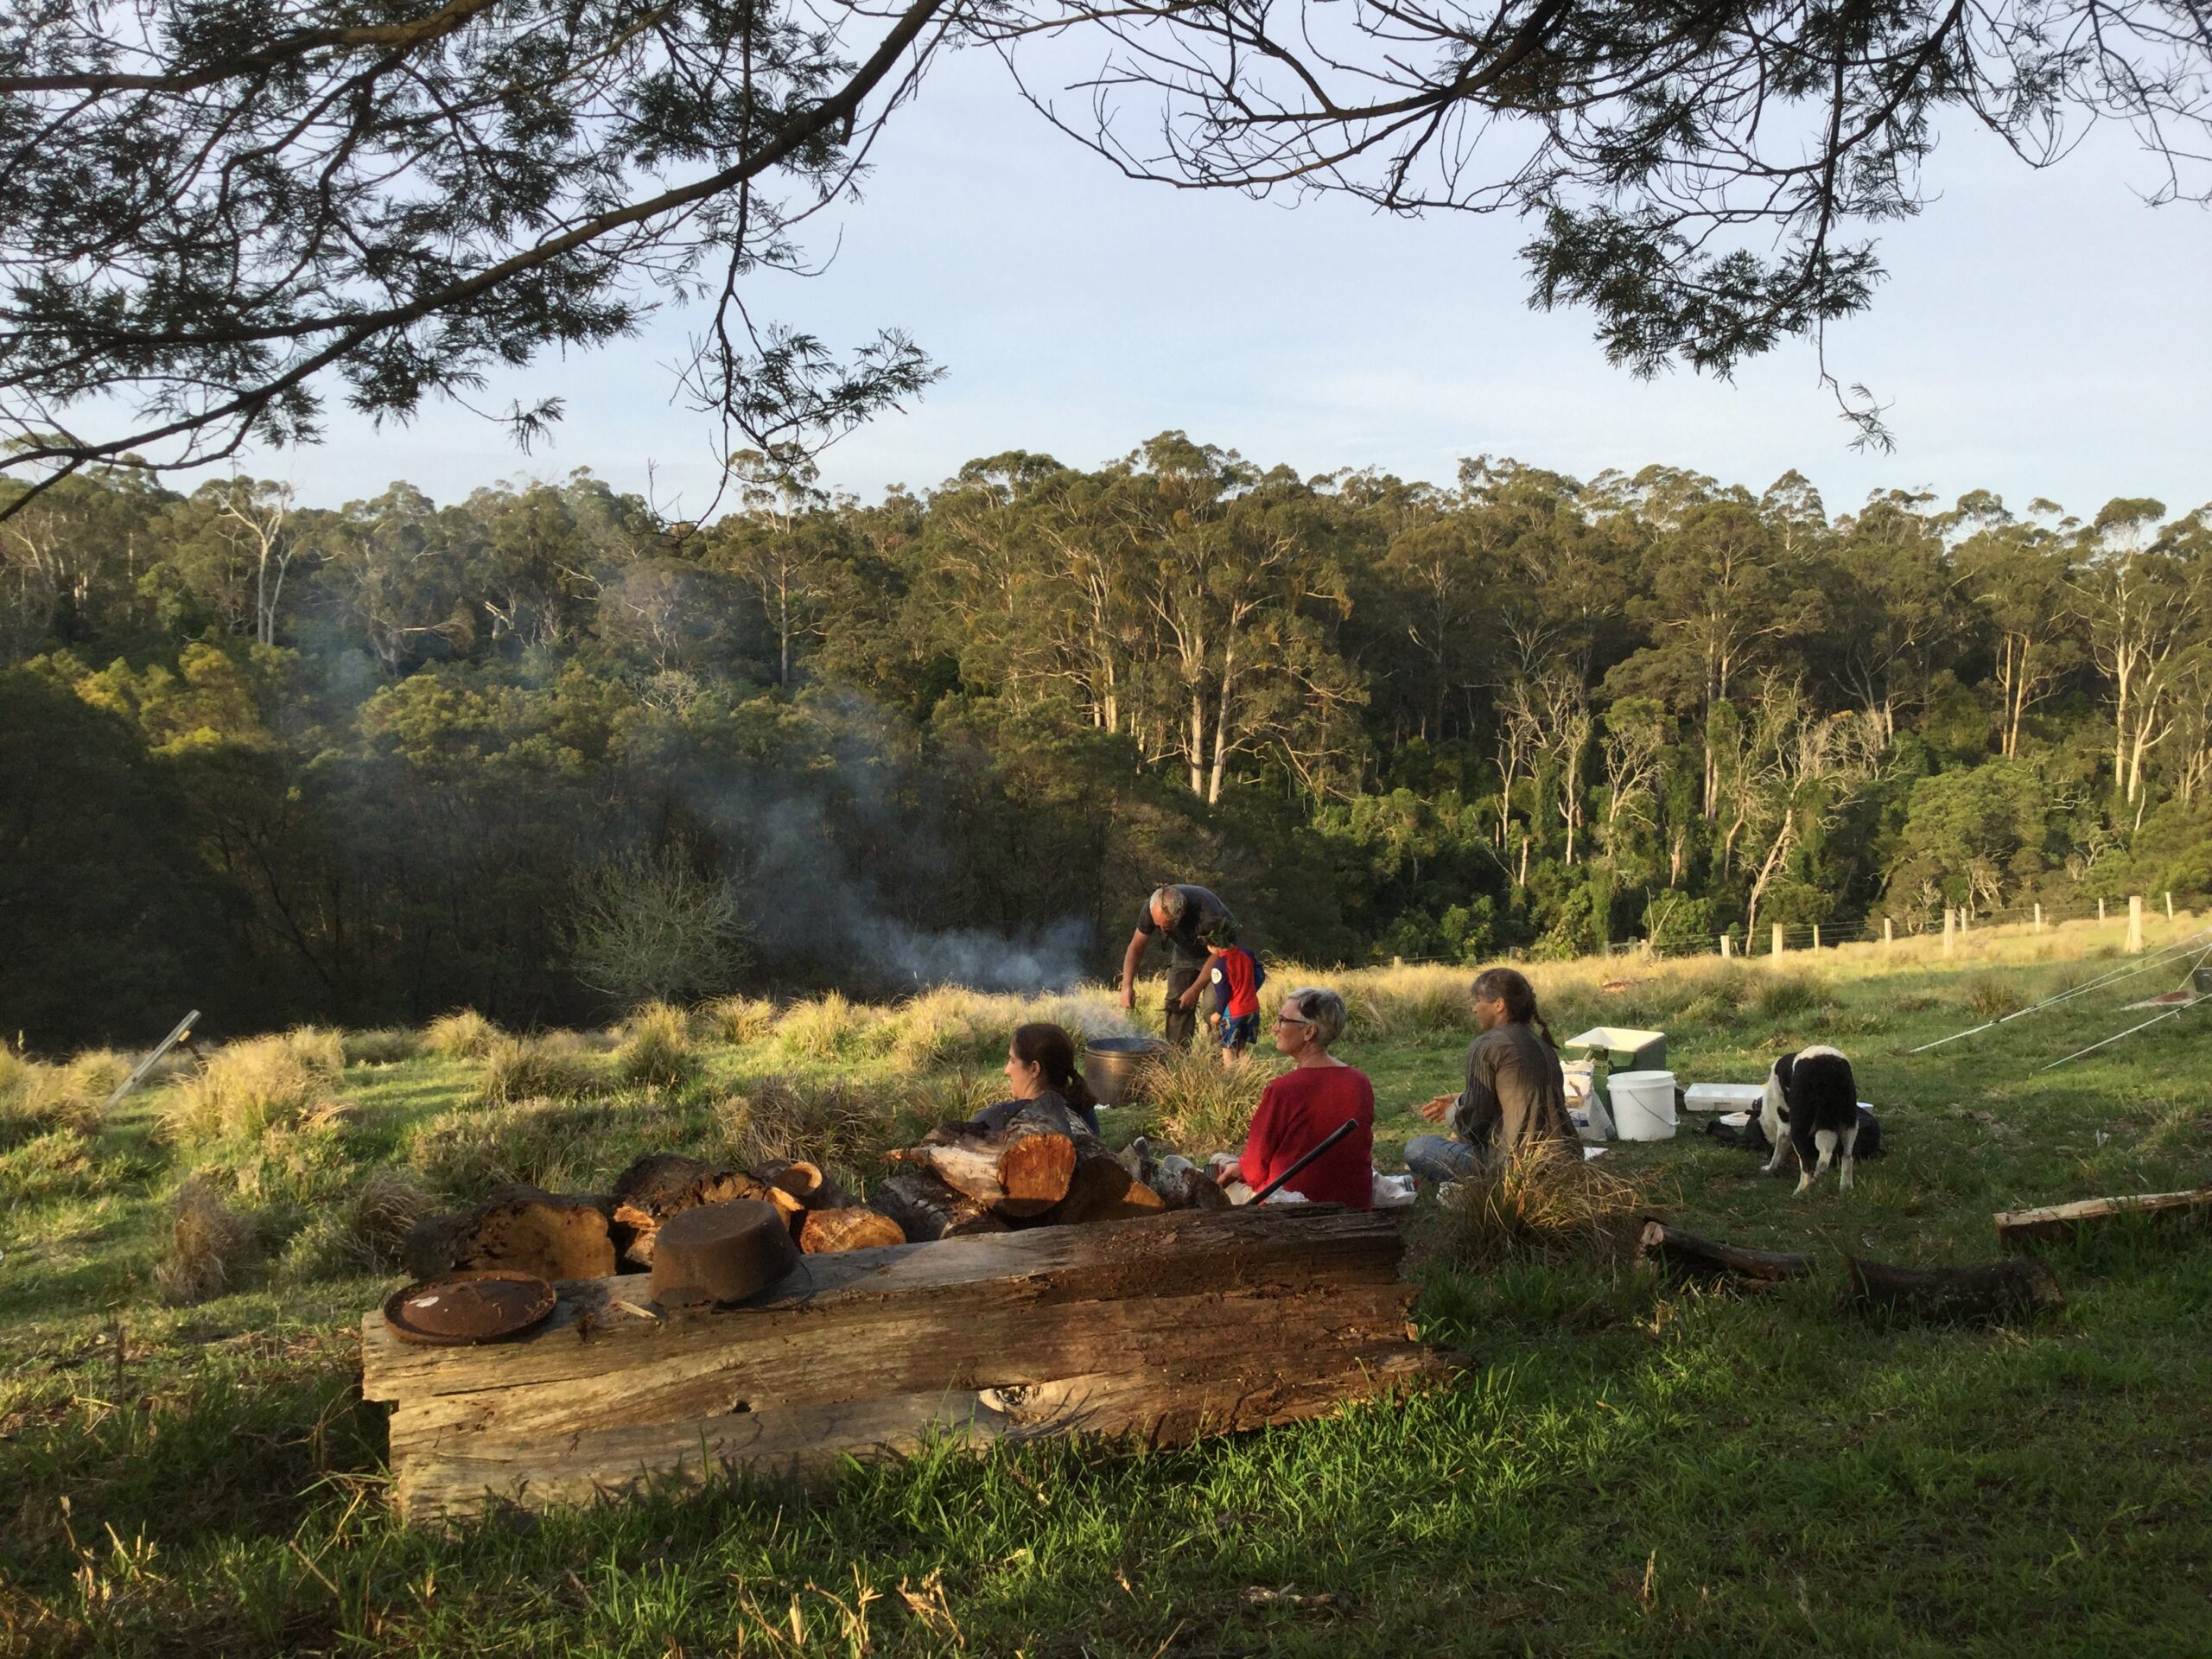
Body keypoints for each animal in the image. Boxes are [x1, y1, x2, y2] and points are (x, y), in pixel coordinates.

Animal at [1770, 1052, 1858, 1194]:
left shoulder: (1785, 1126)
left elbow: (1778, 1150)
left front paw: (1770, 1167)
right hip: (1850, 1124)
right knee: (1847, 1157)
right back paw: (1844, 1187)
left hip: (1799, 1128)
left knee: (1809, 1164)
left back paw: (1802, 1190)